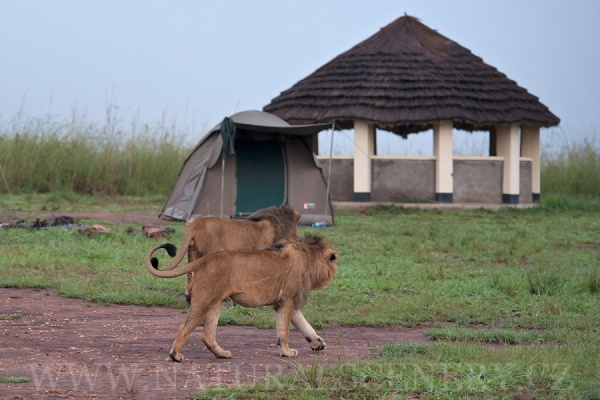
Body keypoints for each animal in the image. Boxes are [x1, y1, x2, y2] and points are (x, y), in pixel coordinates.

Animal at [143, 234, 336, 362]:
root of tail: (205, 259)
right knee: (185, 327)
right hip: (204, 300)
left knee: (207, 334)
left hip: (215, 302)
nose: (332, 275)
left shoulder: (289, 303)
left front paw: (318, 343)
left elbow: (305, 325)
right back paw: (175, 355)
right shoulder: (286, 301)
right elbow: (284, 331)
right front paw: (287, 352)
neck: (308, 256)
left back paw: (221, 354)